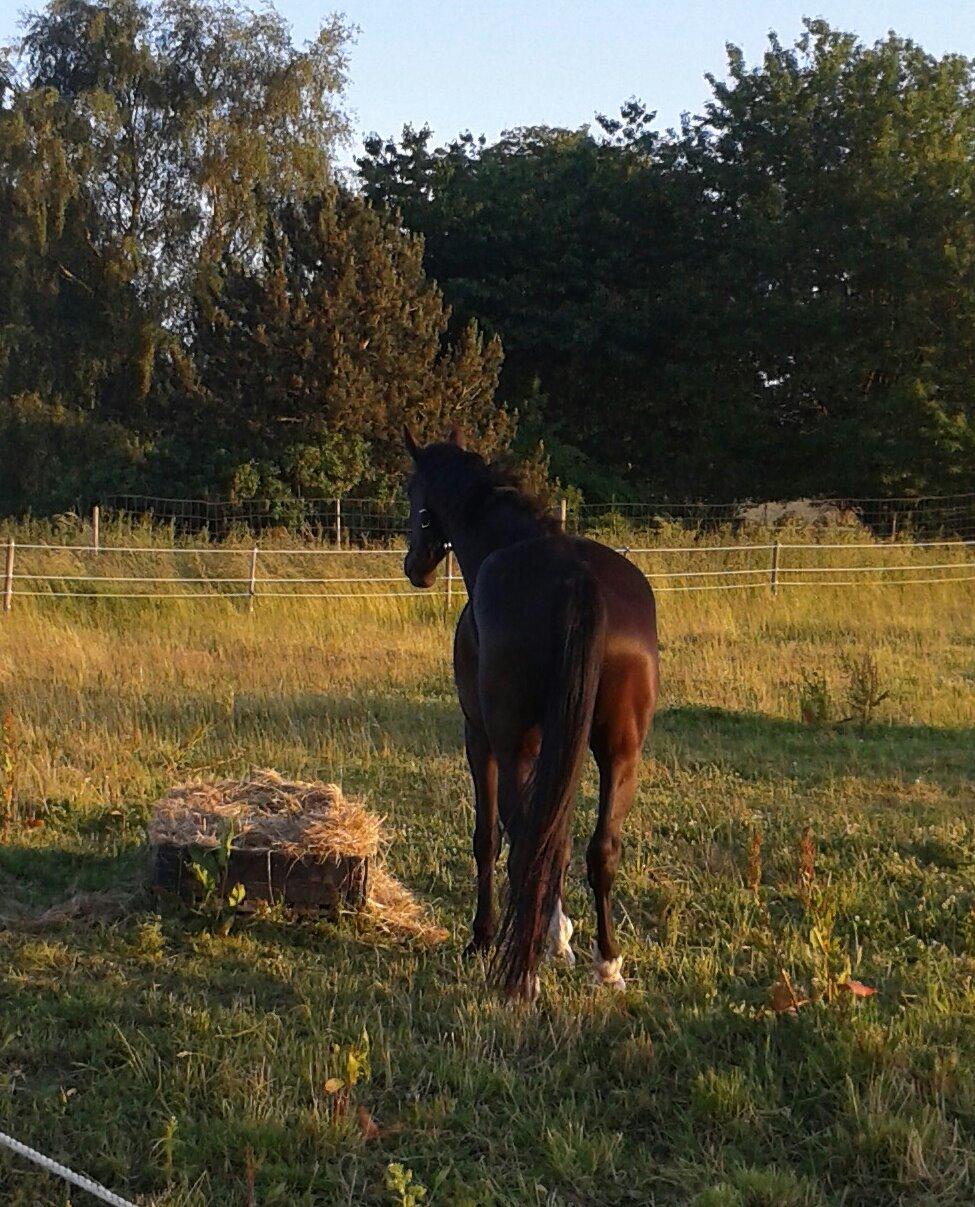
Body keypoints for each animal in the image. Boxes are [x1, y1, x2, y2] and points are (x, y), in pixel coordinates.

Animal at [400, 427, 661, 999]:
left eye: (413, 496)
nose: (415, 568)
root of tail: (578, 579)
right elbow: (556, 836)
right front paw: (558, 936)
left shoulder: (480, 738)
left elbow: (490, 838)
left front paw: (485, 938)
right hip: (620, 750)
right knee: (598, 849)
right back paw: (606, 963)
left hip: (510, 742)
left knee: (525, 844)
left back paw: (521, 973)